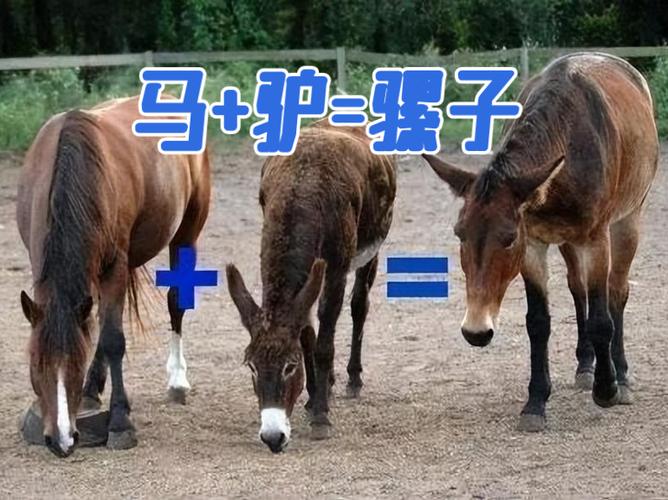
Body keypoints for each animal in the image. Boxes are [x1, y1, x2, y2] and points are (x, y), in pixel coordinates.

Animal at [16, 96, 211, 457]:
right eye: (35, 365)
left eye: (74, 365)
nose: (61, 440)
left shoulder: (113, 267)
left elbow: (113, 339)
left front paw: (120, 422)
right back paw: (94, 388)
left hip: (187, 230)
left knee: (175, 300)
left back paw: (177, 381)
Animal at [226, 121, 396, 452]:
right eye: (251, 366)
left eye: (289, 367)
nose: (273, 437)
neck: (301, 186)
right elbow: (307, 335)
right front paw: (314, 396)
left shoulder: (336, 270)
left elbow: (324, 343)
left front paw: (320, 418)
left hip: (372, 248)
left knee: (359, 305)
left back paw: (352, 380)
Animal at [422, 52, 658, 431]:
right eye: (459, 234)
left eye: (508, 239)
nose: (476, 331)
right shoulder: (533, 244)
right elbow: (538, 322)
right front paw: (535, 402)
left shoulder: (596, 239)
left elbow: (602, 318)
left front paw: (606, 389)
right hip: (568, 240)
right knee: (578, 289)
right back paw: (585, 365)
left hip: (627, 221)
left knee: (617, 292)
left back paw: (620, 375)